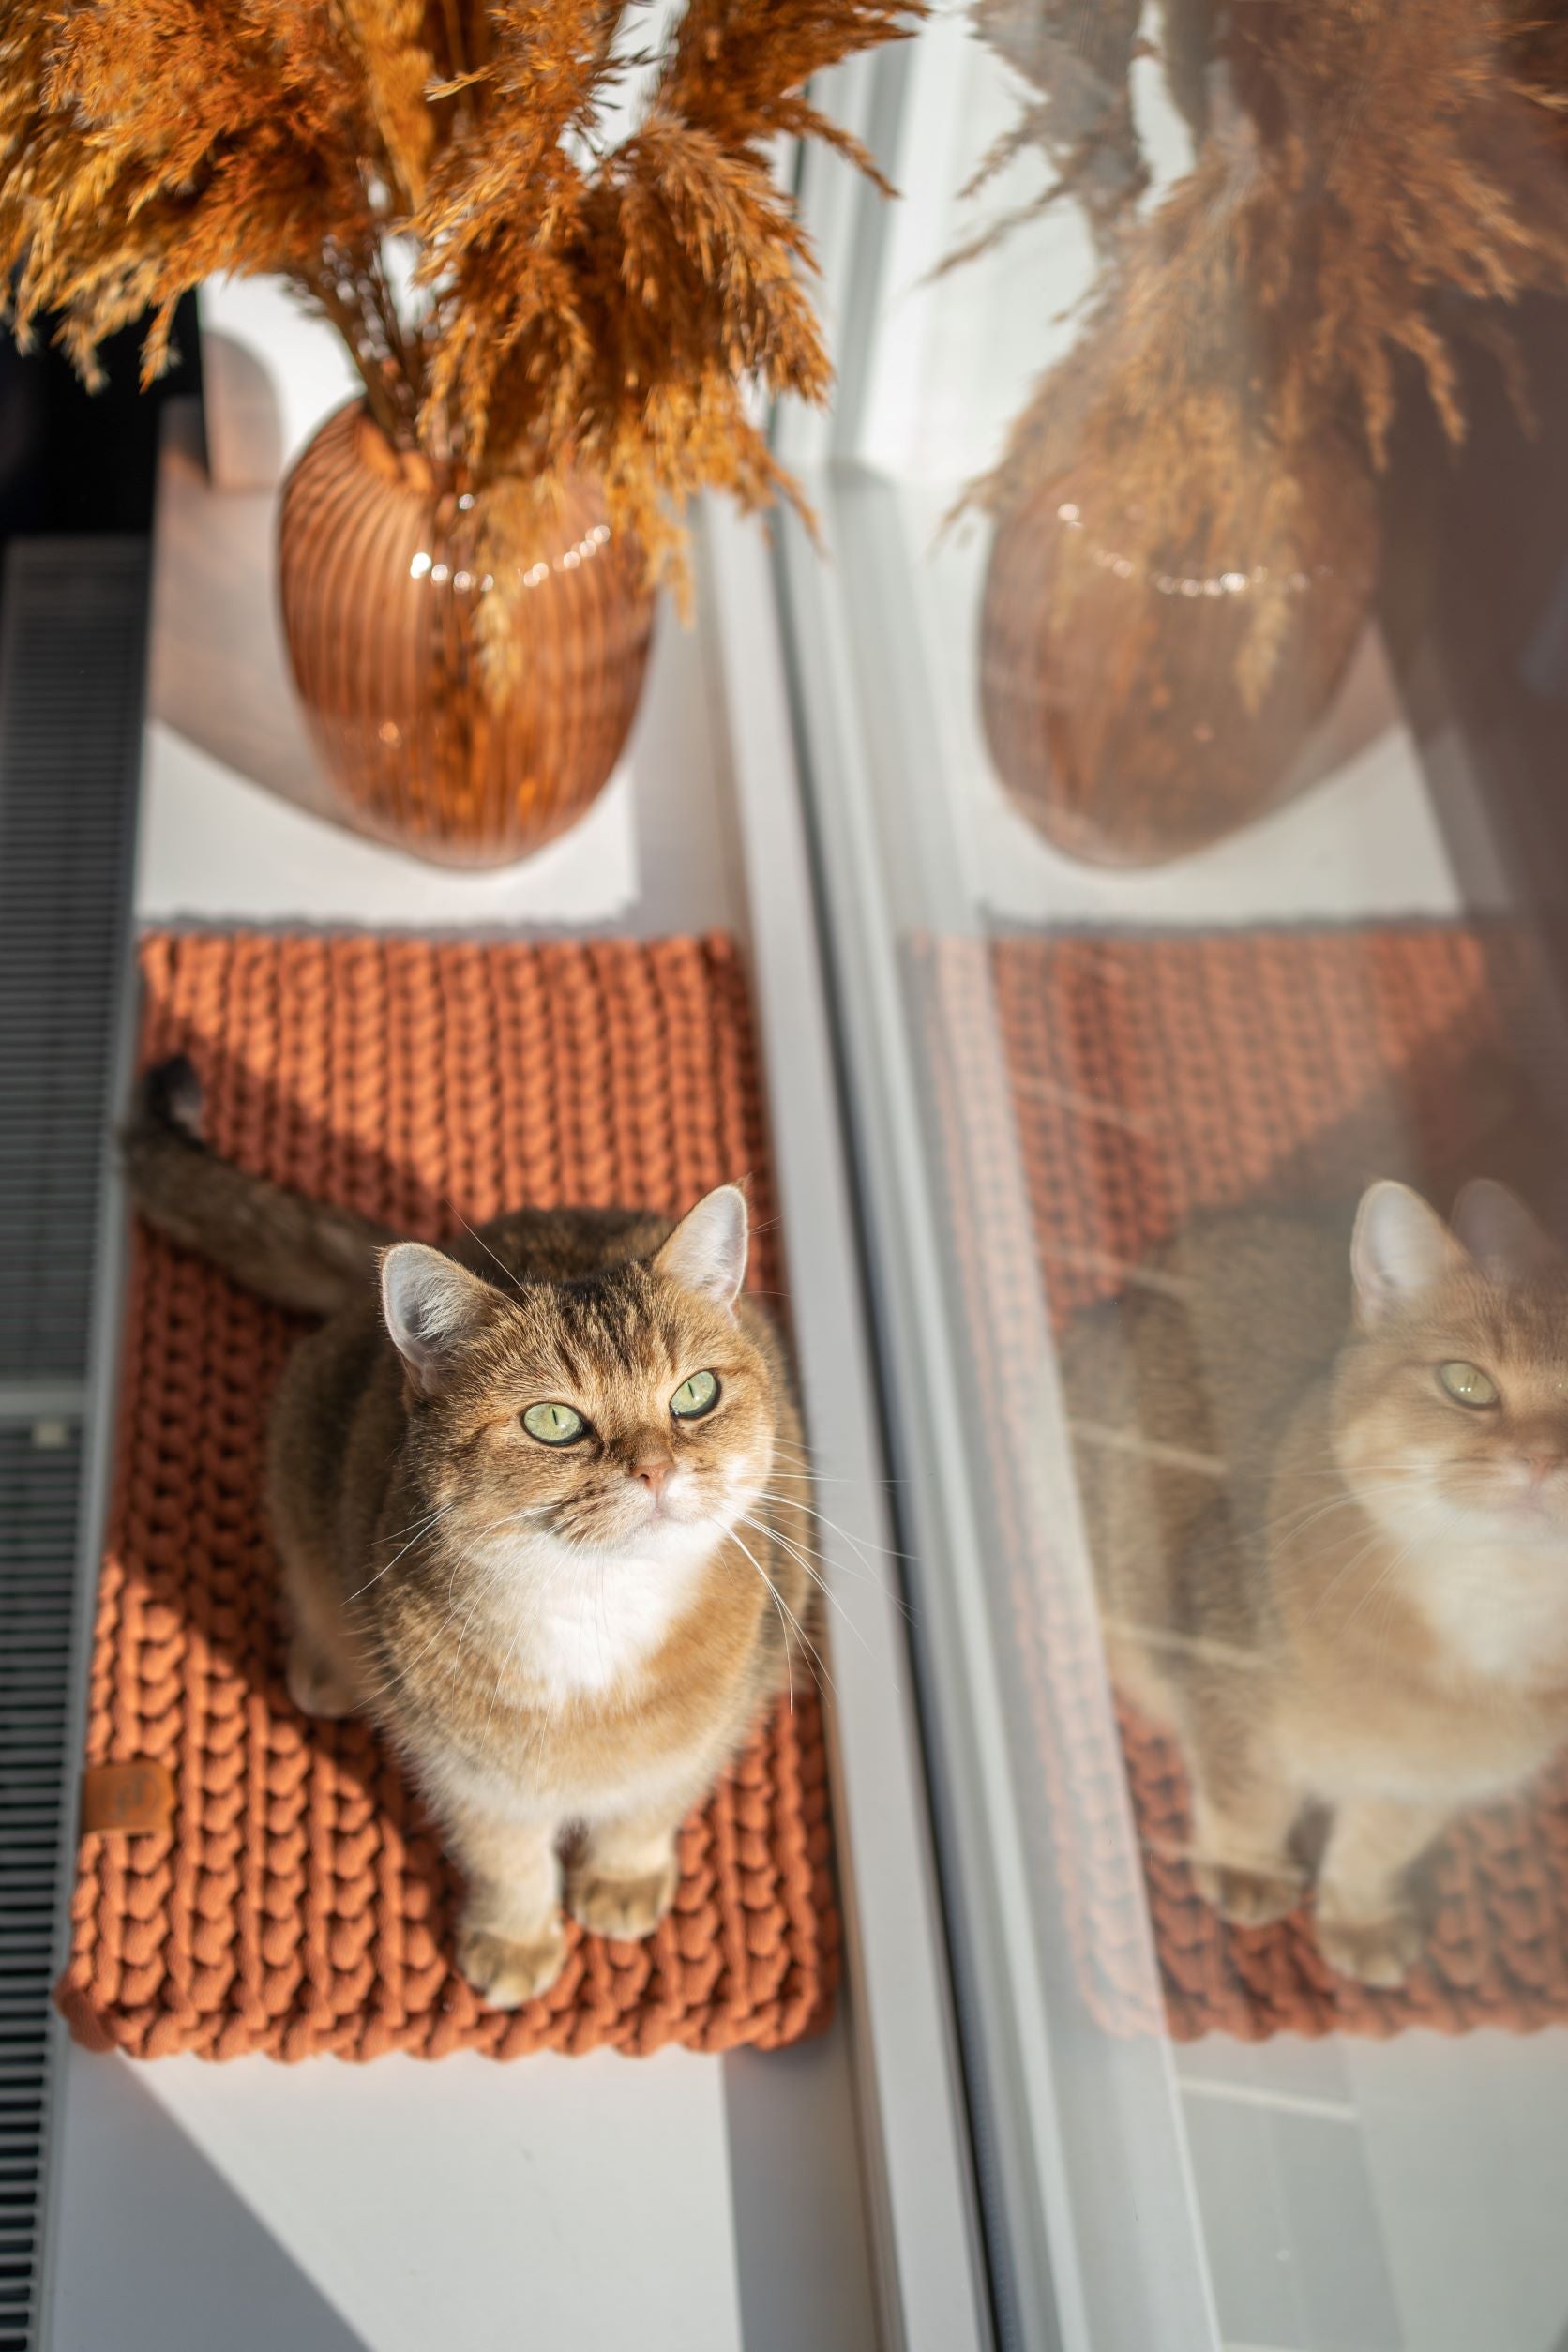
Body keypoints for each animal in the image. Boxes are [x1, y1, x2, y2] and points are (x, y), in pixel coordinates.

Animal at [122, 1063, 808, 2003]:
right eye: (553, 1422)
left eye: (695, 1395)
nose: (655, 1470)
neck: (597, 1621)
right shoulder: (467, 1778)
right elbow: (507, 1861)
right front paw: (516, 1938)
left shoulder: (713, 1725)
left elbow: (646, 1811)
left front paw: (621, 1878)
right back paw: (329, 1665)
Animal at [1063, 1176, 1568, 1984]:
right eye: (1466, 1384)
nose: (1544, 1462)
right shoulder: (1229, 1691)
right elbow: (1249, 1794)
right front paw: (1248, 1865)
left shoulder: (1423, 1782)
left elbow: (1377, 1848)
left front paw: (1359, 1917)